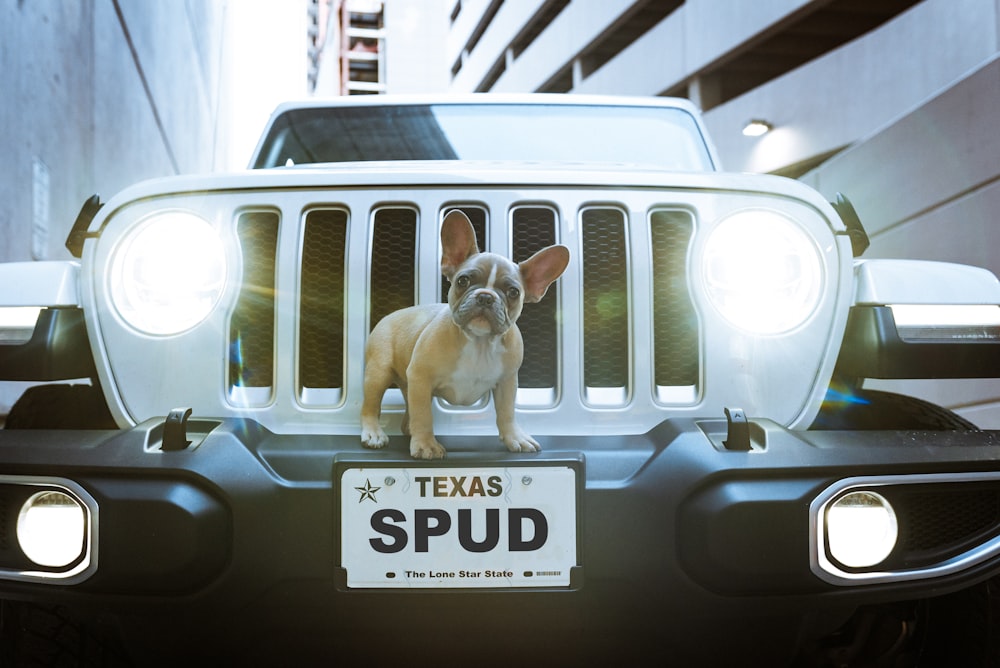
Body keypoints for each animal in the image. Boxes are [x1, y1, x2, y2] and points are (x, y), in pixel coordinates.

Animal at [360, 210, 568, 460]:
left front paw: (515, 437)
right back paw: (374, 433)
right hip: (379, 372)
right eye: (463, 280)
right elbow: (424, 414)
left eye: (513, 292)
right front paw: (426, 444)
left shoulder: (507, 382)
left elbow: (507, 412)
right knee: (372, 405)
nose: (486, 297)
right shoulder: (421, 376)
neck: (479, 342)